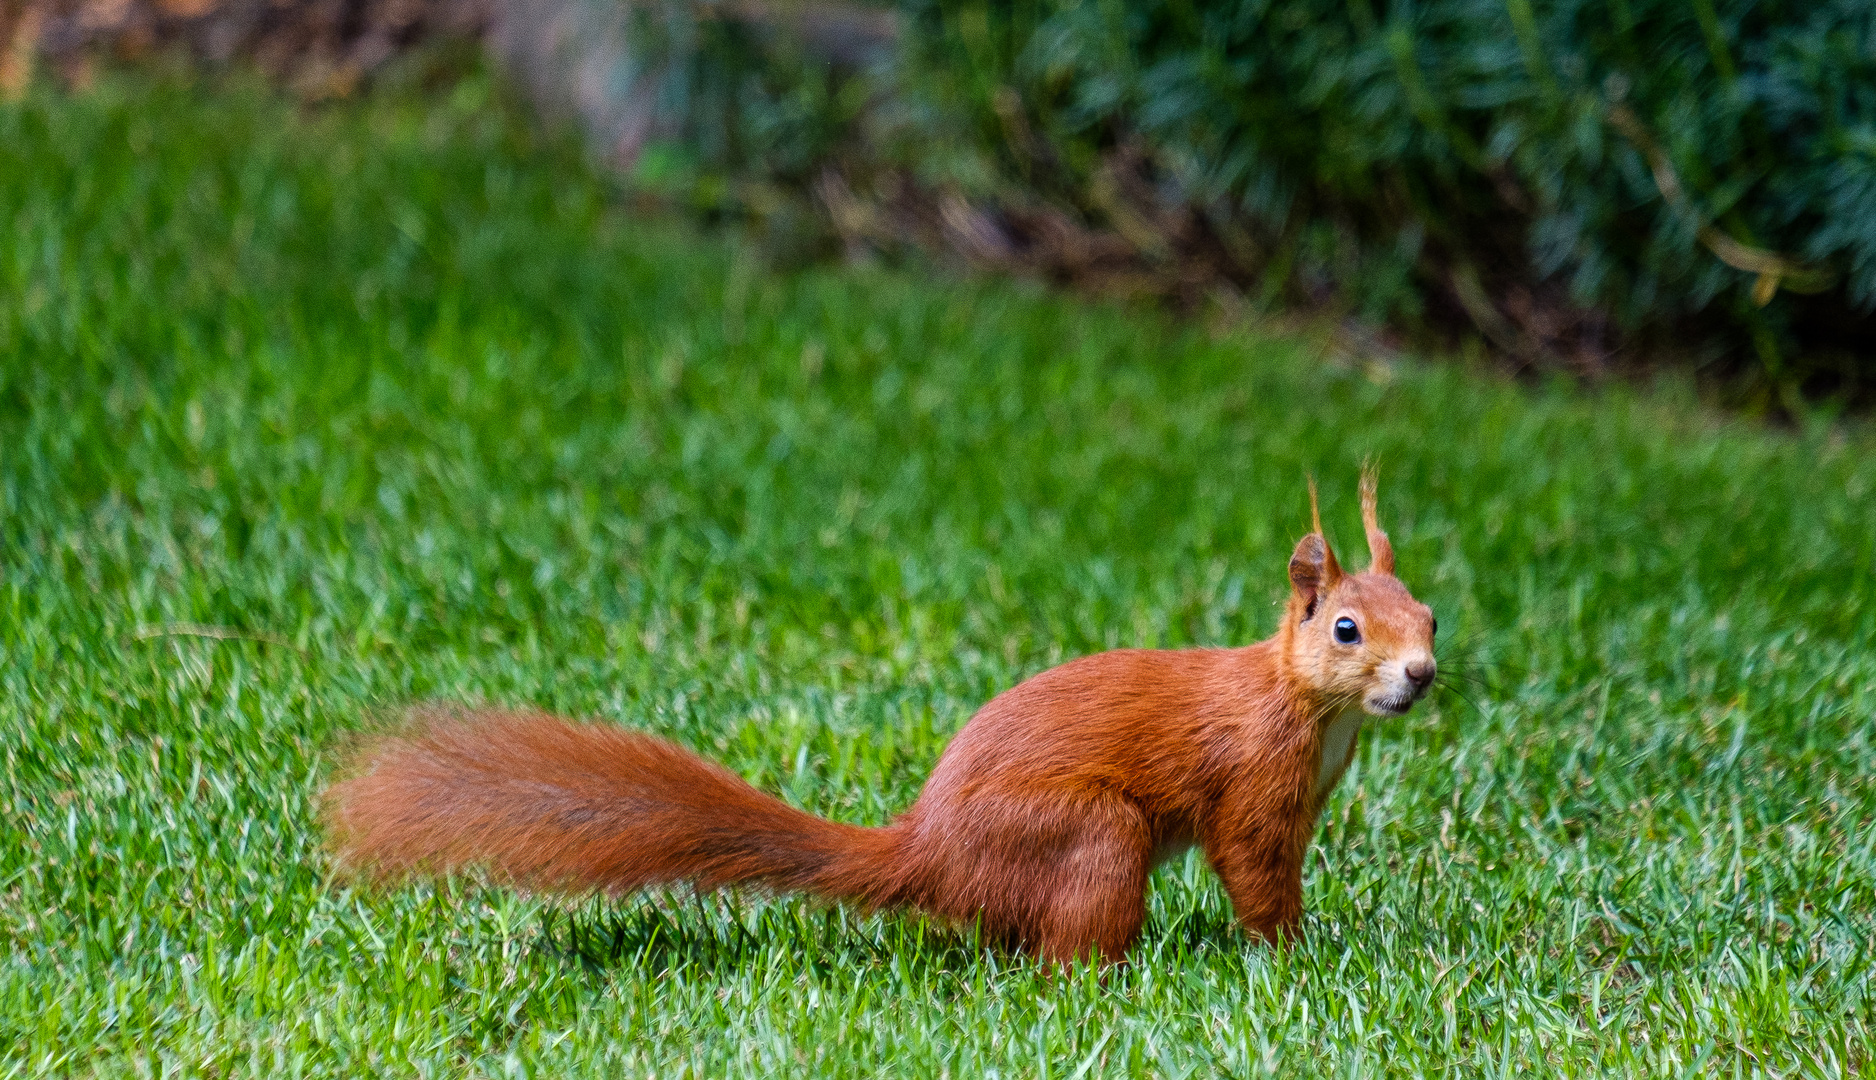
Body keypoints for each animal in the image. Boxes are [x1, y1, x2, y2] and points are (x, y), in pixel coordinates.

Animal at [326, 472, 1433, 960]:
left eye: (1429, 614)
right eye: (1345, 629)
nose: (1420, 675)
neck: (1307, 708)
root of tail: (928, 853)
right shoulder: (1253, 779)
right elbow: (1252, 865)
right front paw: (1292, 952)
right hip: (1090, 836)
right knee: (1063, 947)